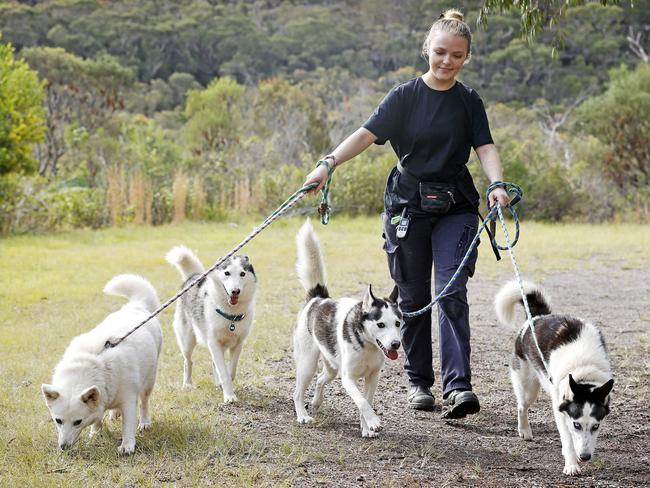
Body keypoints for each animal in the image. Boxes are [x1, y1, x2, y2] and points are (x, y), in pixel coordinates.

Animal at [41, 274, 162, 454]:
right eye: (58, 420)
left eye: (77, 422)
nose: (64, 447)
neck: (93, 367)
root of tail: (136, 306)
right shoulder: (101, 397)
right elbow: (98, 417)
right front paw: (95, 433)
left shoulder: (129, 399)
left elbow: (128, 425)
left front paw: (127, 446)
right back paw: (114, 413)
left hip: (149, 381)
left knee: (145, 403)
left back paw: (145, 422)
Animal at [165, 246, 256, 402]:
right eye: (227, 273)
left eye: (242, 274)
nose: (235, 291)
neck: (231, 315)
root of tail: (193, 276)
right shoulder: (213, 342)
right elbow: (224, 373)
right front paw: (229, 396)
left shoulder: (238, 344)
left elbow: (231, 371)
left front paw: (224, 385)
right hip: (187, 340)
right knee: (188, 361)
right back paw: (187, 384)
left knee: (214, 363)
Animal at [292, 219, 400, 436]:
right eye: (380, 324)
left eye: (398, 323)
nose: (395, 344)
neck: (367, 345)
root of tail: (318, 299)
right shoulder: (348, 378)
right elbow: (362, 402)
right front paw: (373, 422)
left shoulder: (373, 377)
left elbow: (366, 402)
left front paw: (366, 428)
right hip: (307, 363)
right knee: (297, 393)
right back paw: (302, 416)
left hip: (332, 366)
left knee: (320, 379)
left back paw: (316, 402)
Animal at [496, 280, 612, 474]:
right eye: (577, 425)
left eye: (596, 426)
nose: (585, 457)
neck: (583, 369)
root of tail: (536, 318)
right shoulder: (561, 410)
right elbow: (568, 439)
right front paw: (571, 464)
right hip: (528, 388)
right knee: (522, 406)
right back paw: (524, 430)